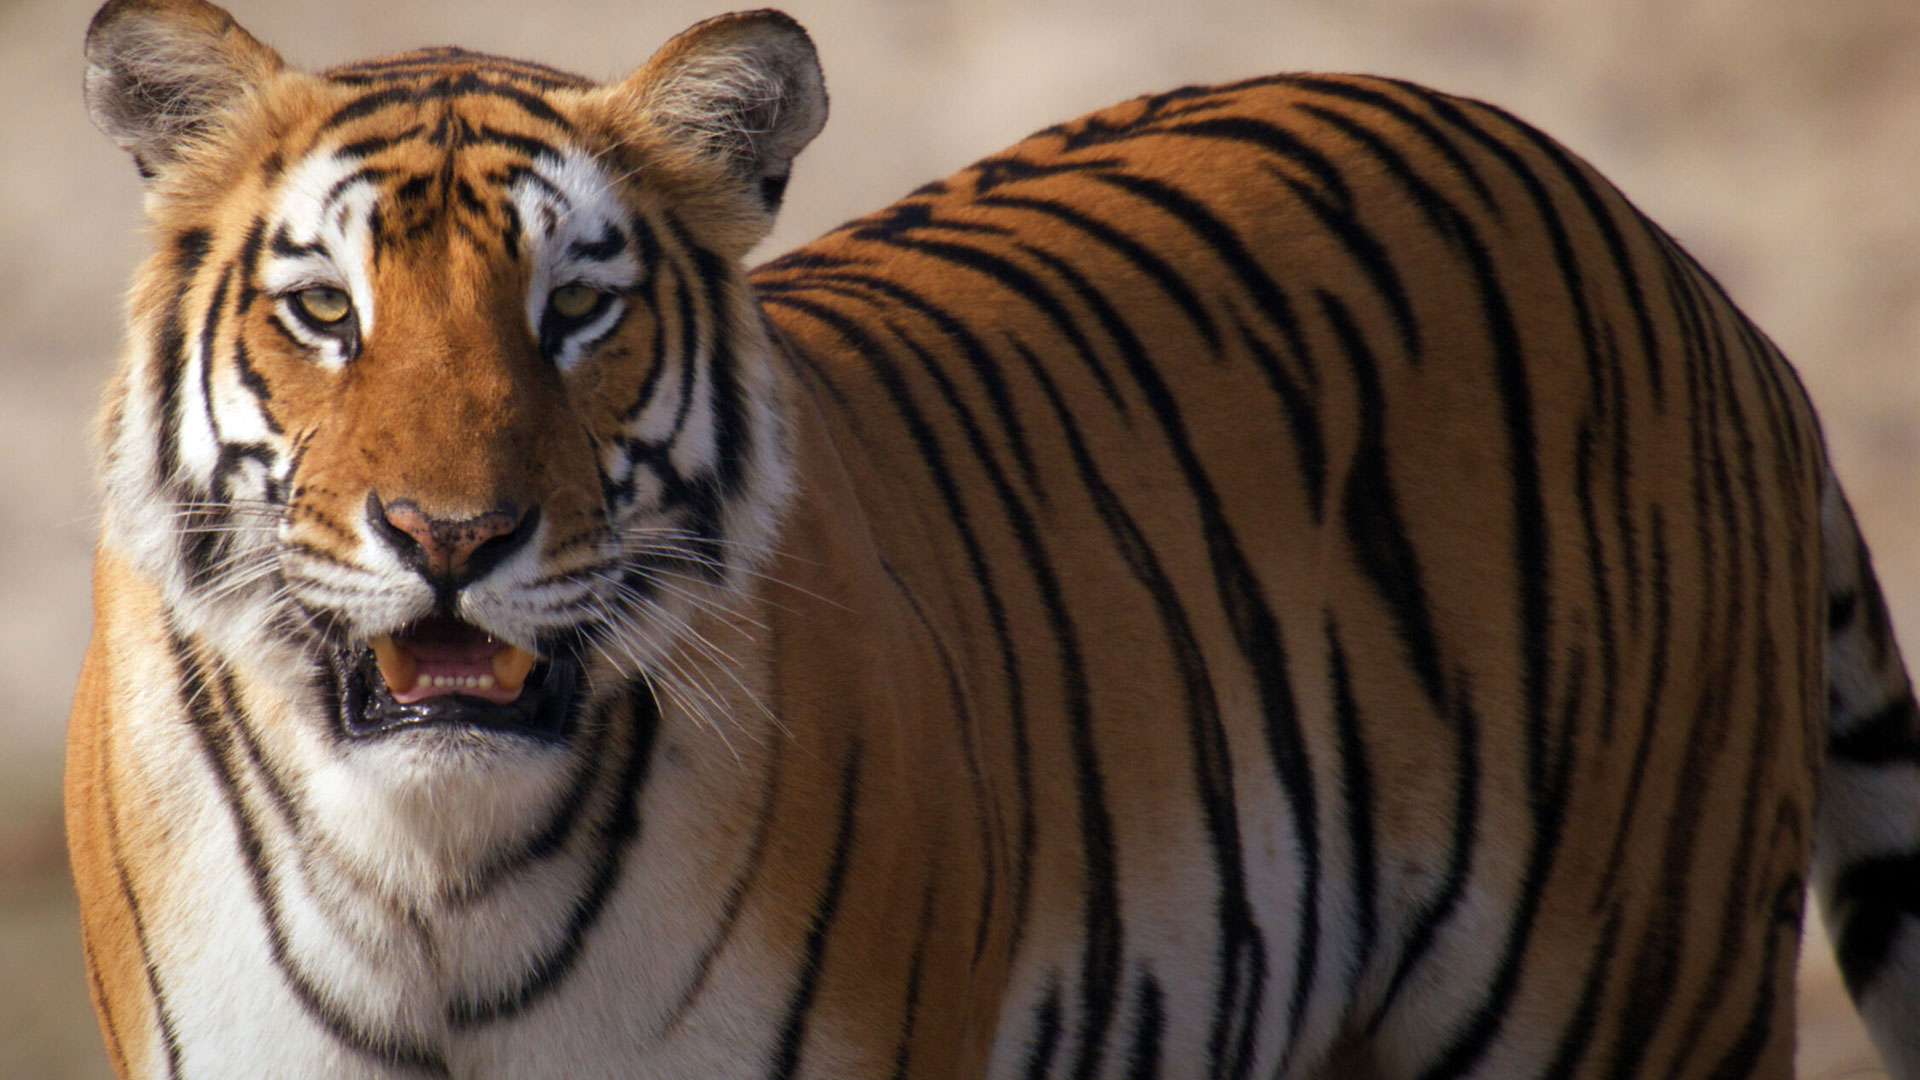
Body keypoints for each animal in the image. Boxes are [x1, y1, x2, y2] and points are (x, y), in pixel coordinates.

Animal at [65, 0, 1919, 1076]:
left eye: (577, 309)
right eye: (325, 309)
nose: (452, 536)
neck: (436, 878)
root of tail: (1689, 274)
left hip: (1632, 996)